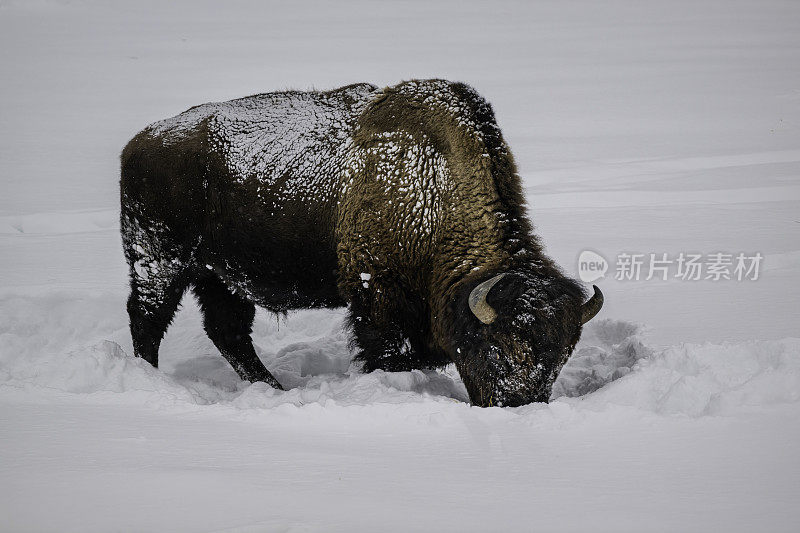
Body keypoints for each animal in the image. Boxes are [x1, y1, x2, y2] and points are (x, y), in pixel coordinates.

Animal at [122, 79, 604, 406]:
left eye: (560, 359)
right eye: (498, 349)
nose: (518, 407)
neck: (436, 185)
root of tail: (140, 141)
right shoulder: (377, 295)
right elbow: (387, 352)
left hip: (220, 277)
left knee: (228, 332)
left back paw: (272, 387)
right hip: (159, 262)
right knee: (147, 318)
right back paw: (149, 378)